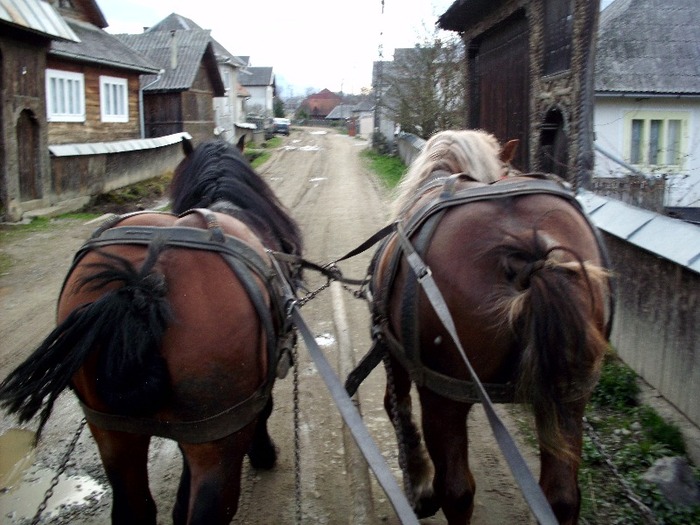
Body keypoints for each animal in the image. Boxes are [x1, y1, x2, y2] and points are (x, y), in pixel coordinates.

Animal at [0, 137, 304, 520]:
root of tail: (142, 283)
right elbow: (265, 409)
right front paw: (264, 453)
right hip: (218, 439)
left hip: (110, 430)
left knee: (134, 506)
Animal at [372, 129, 612, 520]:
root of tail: (530, 252)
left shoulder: (394, 352)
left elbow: (397, 408)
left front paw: (419, 486)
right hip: (571, 395)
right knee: (561, 496)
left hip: (443, 395)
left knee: (457, 490)